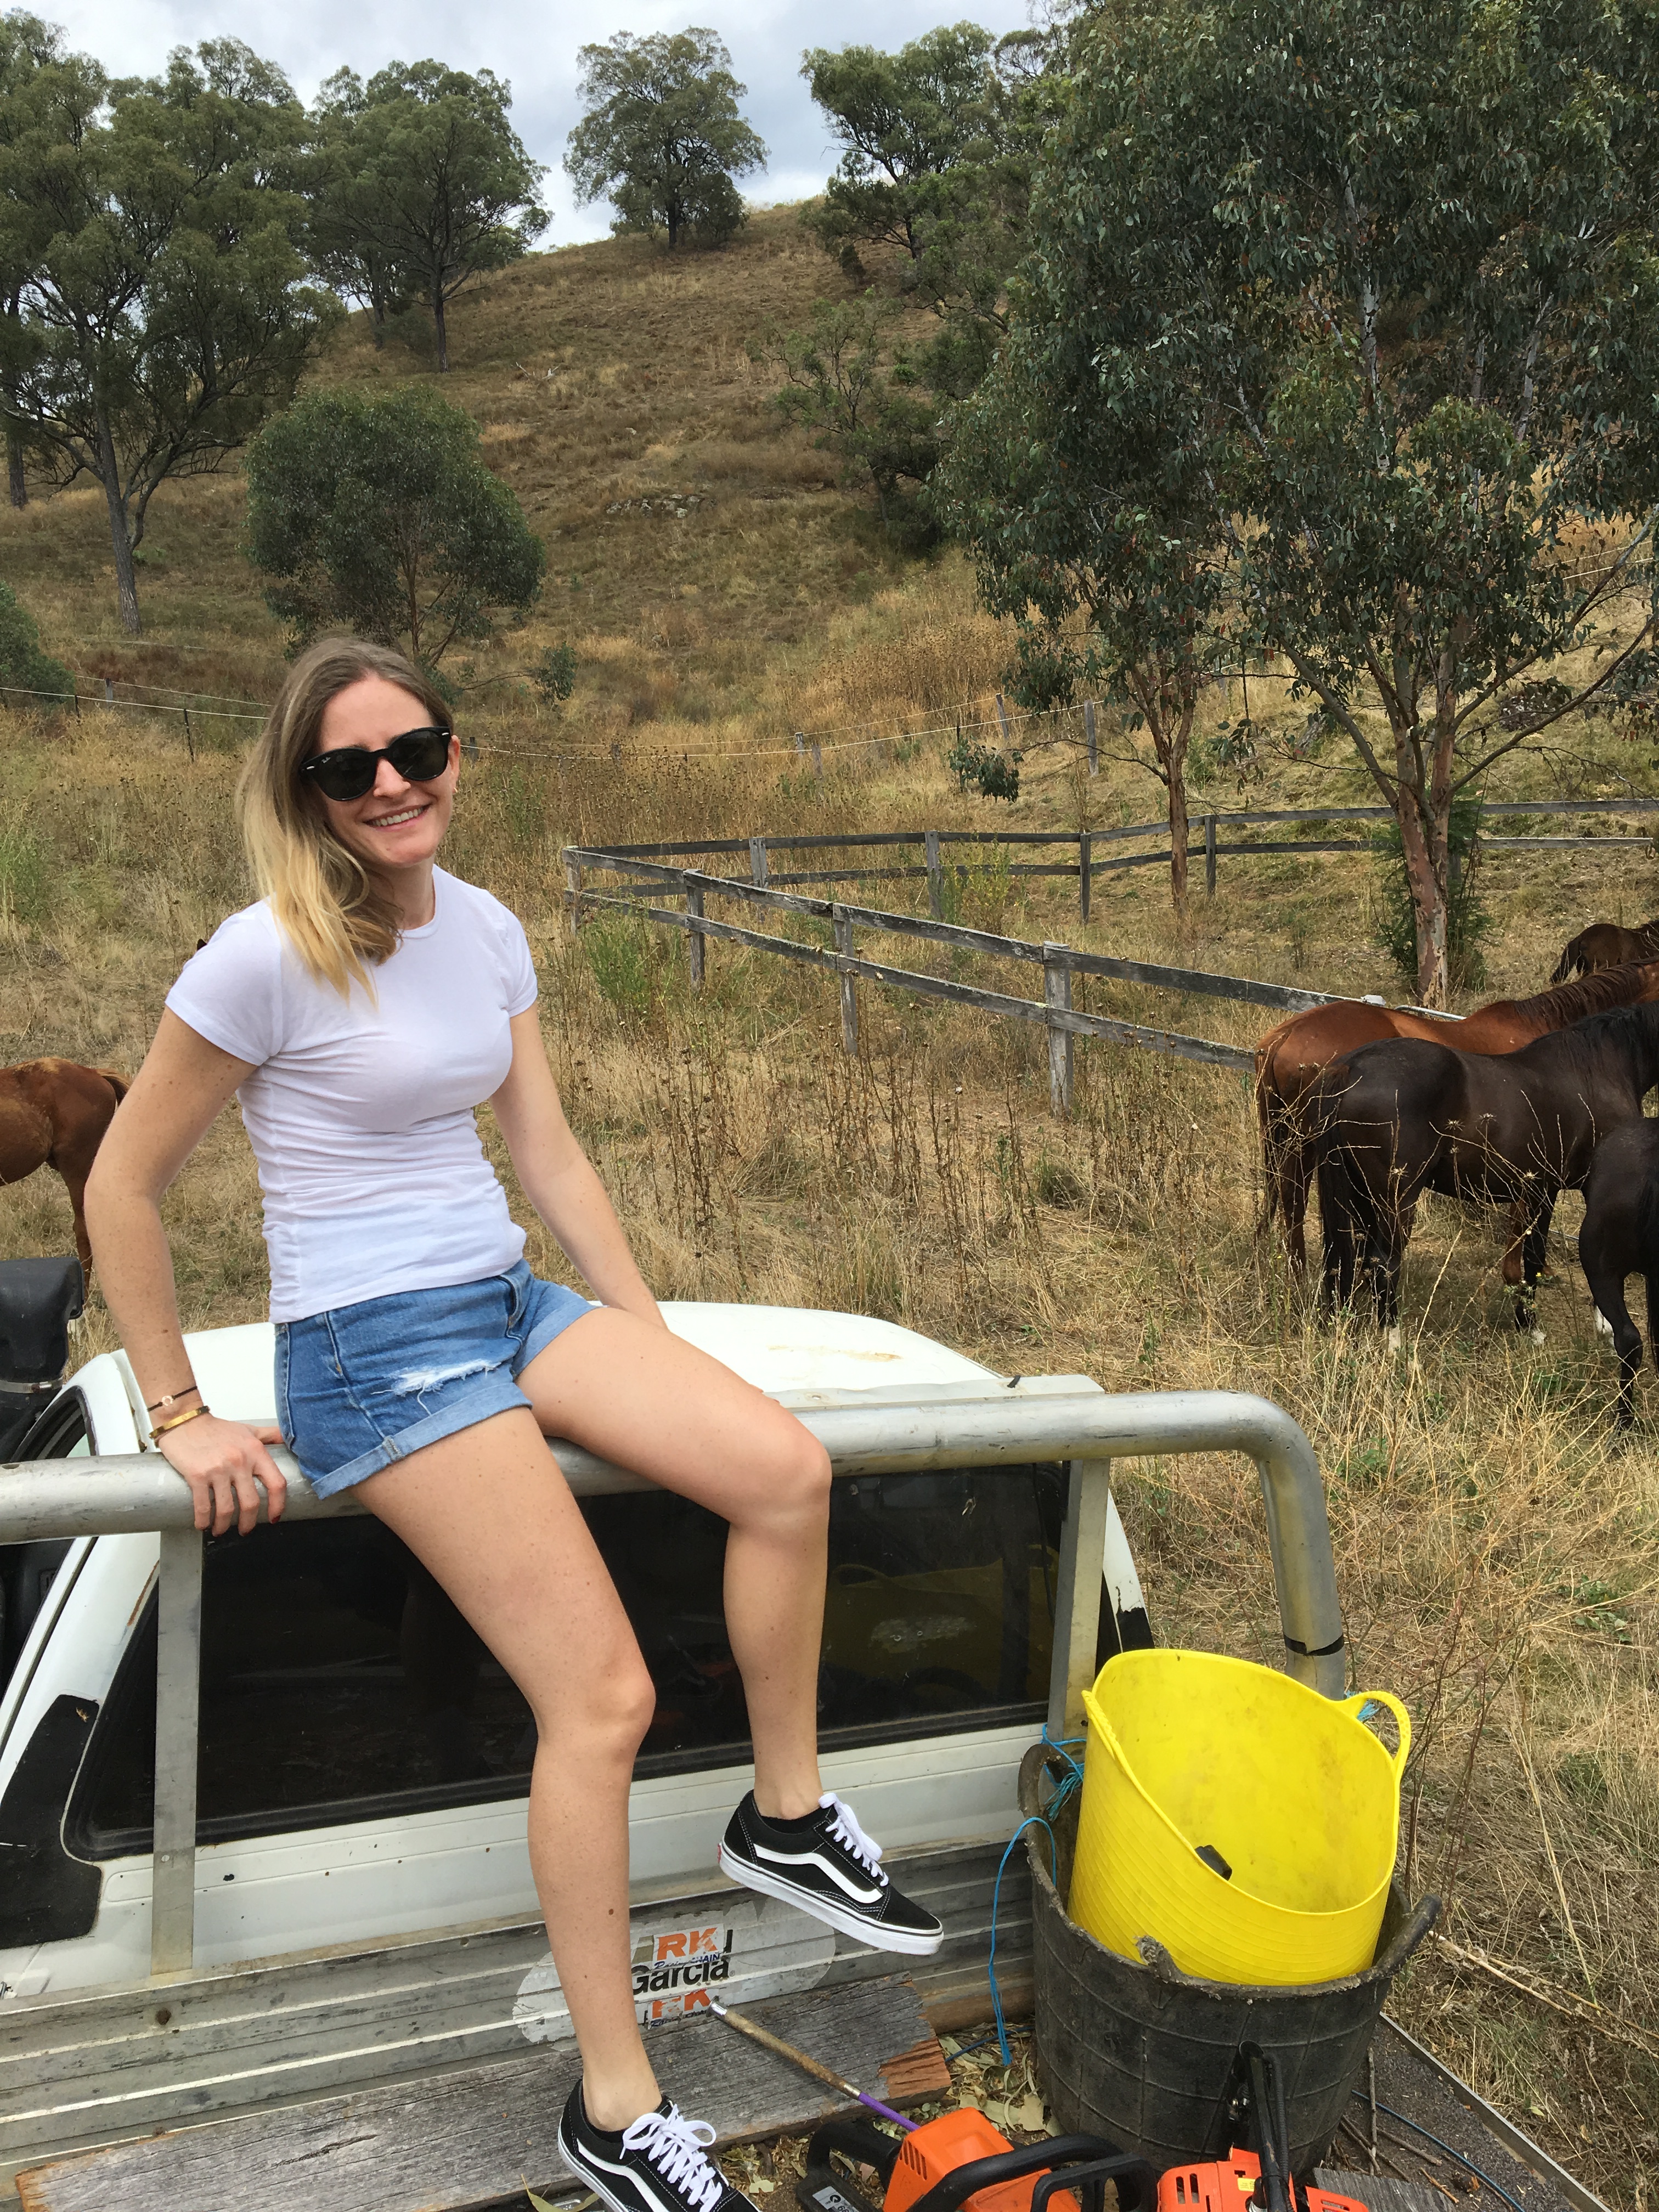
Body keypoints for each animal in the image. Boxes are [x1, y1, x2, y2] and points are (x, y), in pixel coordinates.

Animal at [1309, 1001, 1659, 1335]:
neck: (1597, 1070)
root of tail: (1352, 1067)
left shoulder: (1541, 1190)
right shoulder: (1567, 1191)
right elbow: (1540, 1258)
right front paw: (1542, 1328)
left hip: (1360, 1196)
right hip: (1396, 1200)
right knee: (1383, 1265)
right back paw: (1394, 1341)